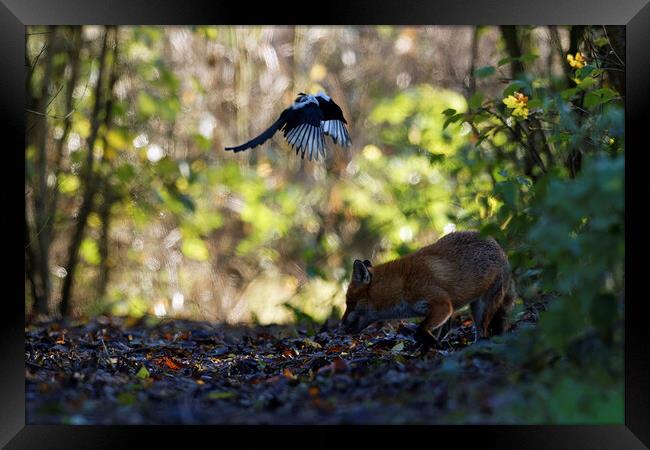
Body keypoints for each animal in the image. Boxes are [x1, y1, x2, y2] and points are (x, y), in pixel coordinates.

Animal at [340, 232, 516, 348]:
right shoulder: (439, 311)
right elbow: (431, 331)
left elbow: (420, 329)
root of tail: (500, 248)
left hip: (482, 308)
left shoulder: (442, 305)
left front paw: (431, 345)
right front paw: (428, 347)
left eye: (349, 303)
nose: (340, 326)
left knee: (483, 332)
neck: (403, 284)